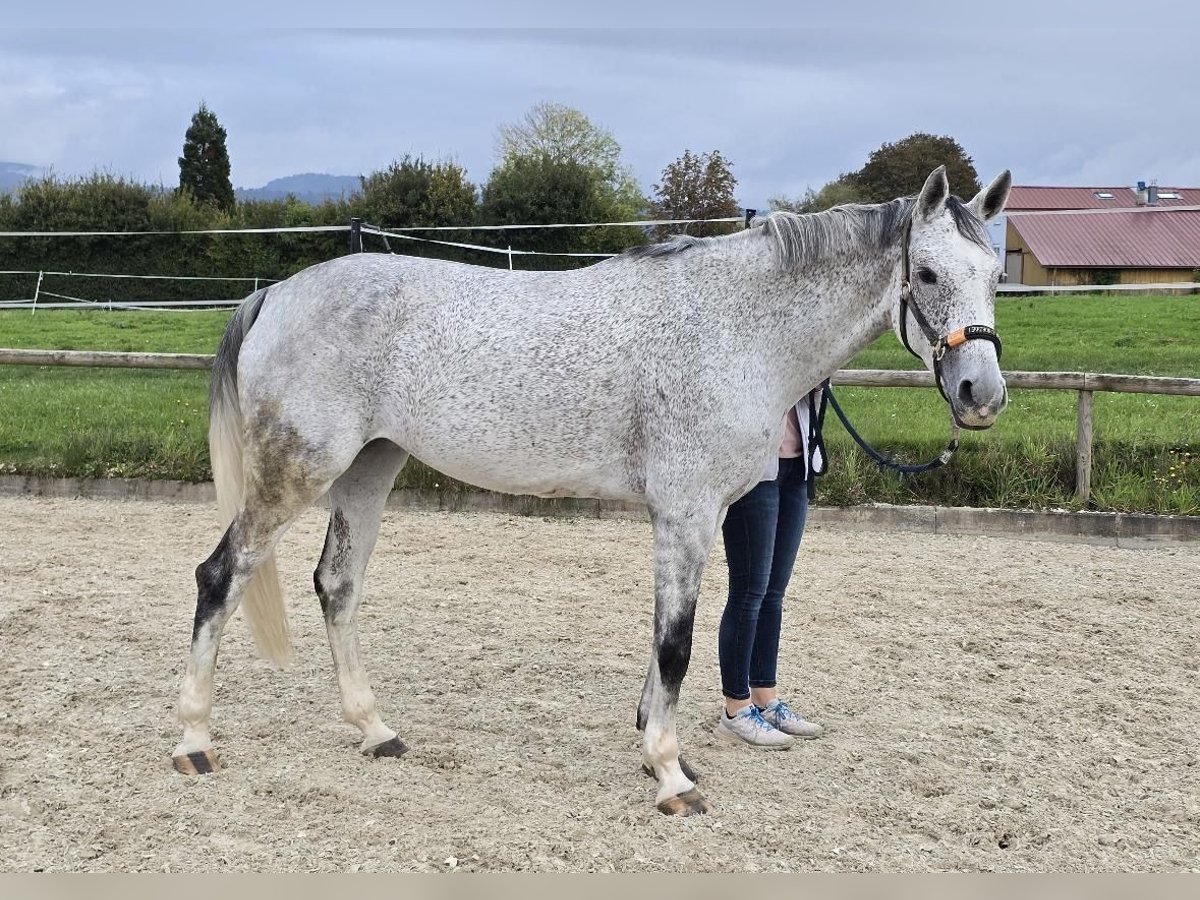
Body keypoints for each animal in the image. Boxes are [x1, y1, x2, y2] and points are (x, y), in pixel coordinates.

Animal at [172, 166, 1012, 816]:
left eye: (995, 275)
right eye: (928, 274)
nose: (982, 393)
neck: (734, 328)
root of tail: (277, 294)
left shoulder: (697, 516)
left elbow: (666, 636)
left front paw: (660, 752)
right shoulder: (685, 512)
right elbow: (676, 642)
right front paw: (671, 776)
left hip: (369, 470)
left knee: (337, 586)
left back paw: (375, 730)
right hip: (297, 473)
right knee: (221, 575)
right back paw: (194, 741)